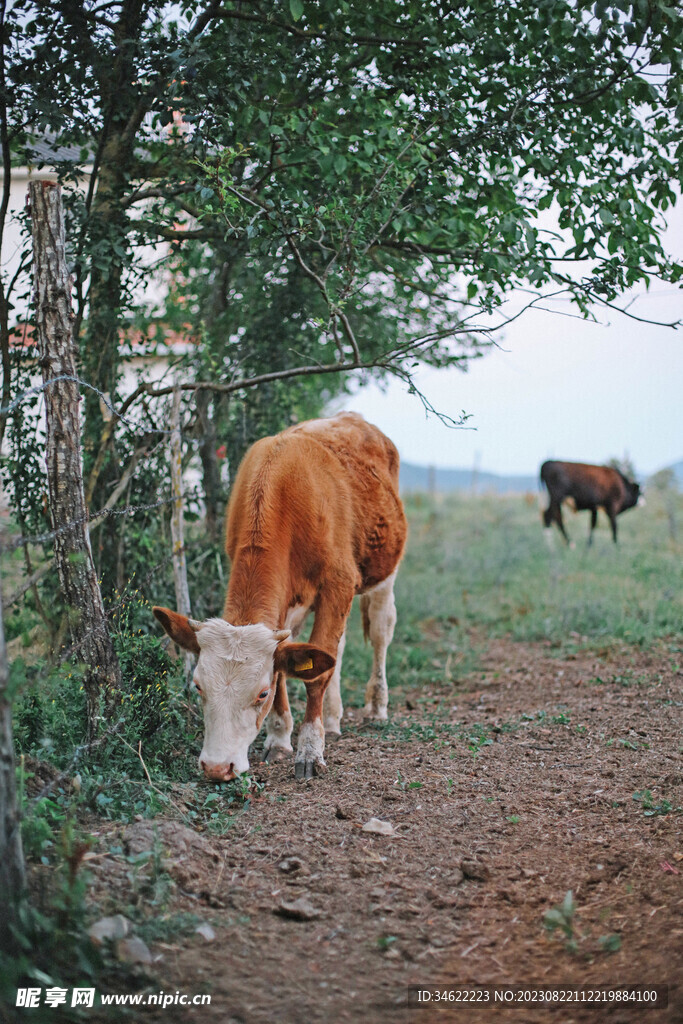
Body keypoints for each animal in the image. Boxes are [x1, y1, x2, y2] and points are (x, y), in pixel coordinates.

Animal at [153, 411, 405, 778]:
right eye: (198, 686)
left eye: (261, 693)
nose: (217, 767)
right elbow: (291, 666)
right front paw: (279, 739)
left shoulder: (340, 583)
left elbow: (315, 675)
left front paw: (310, 750)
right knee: (337, 649)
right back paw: (333, 719)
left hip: (384, 572)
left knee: (380, 633)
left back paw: (376, 707)